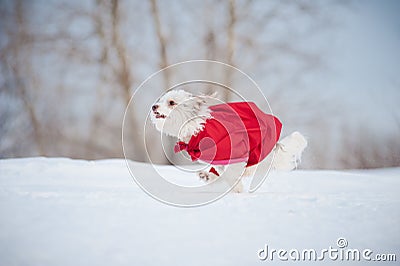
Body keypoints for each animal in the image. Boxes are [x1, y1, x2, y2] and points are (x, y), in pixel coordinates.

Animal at [150, 90, 306, 192]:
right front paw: (211, 176)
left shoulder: (236, 150)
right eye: (161, 100)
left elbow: (232, 173)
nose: (153, 106)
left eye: (171, 102)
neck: (196, 126)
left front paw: (237, 188)